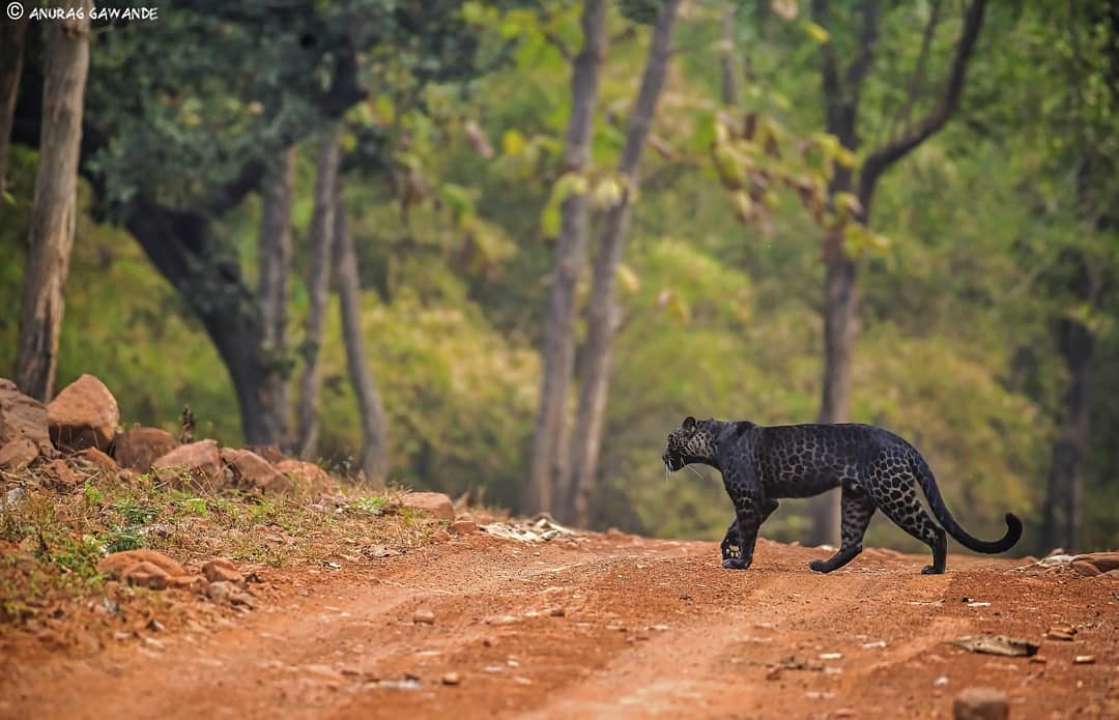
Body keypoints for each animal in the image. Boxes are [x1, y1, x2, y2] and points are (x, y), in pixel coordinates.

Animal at [662, 416, 1025, 573]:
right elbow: (734, 527)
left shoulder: (752, 498)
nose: (662, 455)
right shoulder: (766, 501)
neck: (713, 443)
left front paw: (740, 562)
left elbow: (747, 530)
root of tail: (900, 441)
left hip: (893, 493)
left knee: (935, 530)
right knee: (853, 542)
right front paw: (728, 549)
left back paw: (935, 570)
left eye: (669, 439)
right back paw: (823, 566)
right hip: (856, 498)